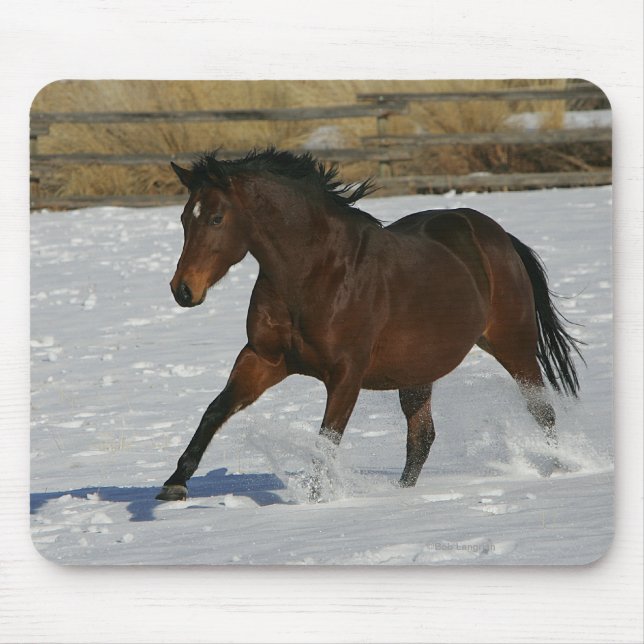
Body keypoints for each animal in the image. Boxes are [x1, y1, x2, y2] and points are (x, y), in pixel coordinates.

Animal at [155, 148, 583, 502]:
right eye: (184, 218)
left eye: (216, 218)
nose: (183, 290)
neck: (314, 272)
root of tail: (498, 236)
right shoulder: (263, 359)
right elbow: (215, 410)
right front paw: (175, 484)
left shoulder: (346, 374)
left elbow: (327, 440)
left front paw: (316, 500)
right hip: (418, 372)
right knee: (422, 437)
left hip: (514, 346)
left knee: (542, 411)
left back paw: (558, 469)